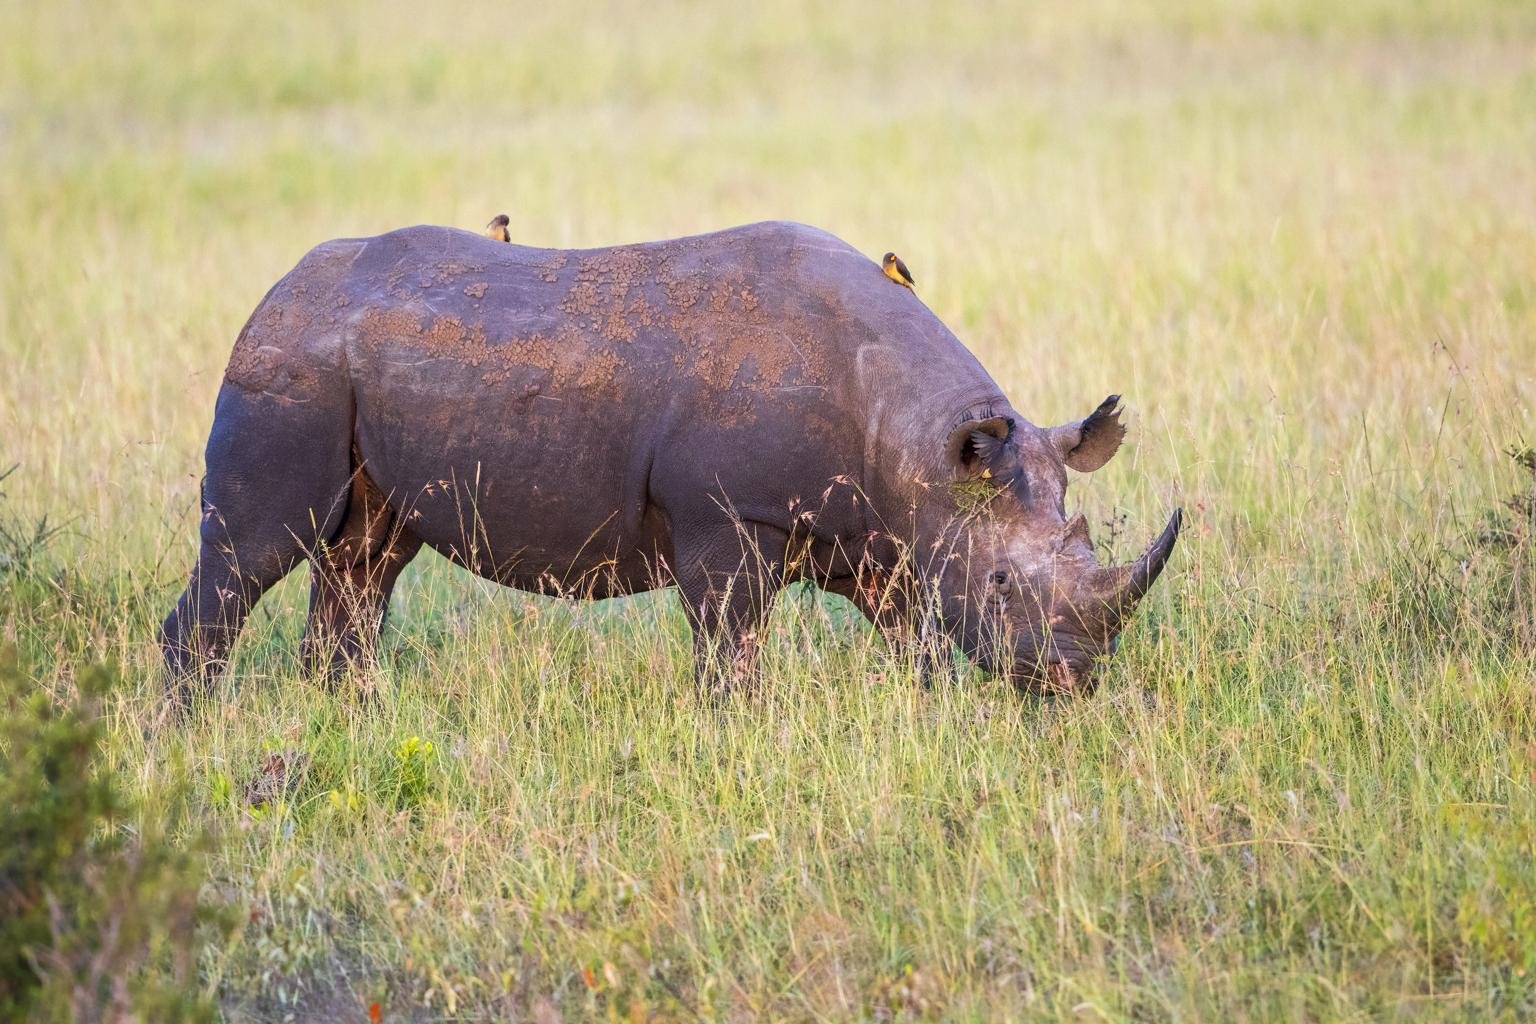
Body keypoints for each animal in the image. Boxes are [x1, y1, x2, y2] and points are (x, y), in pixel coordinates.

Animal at [161, 221, 1180, 701]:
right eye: (1002, 584)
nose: (1069, 680)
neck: (918, 441)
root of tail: (276, 290)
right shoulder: (726, 517)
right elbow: (731, 651)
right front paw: (739, 733)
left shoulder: (885, 533)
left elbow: (915, 638)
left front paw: (928, 714)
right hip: (289, 370)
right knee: (254, 553)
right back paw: (193, 730)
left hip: (347, 371)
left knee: (366, 562)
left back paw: (353, 715)